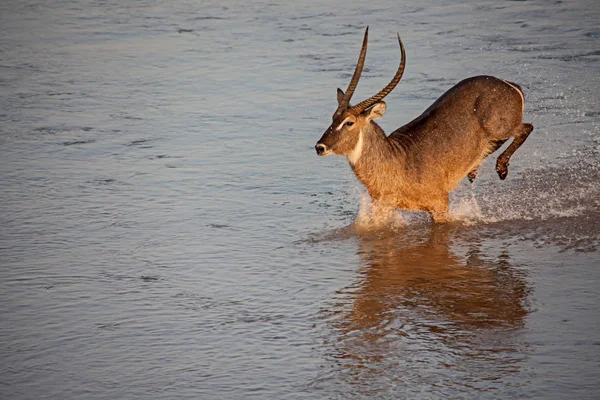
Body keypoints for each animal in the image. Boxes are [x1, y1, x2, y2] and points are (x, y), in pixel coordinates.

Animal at [316, 27, 532, 222]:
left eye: (349, 122)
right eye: (333, 118)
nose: (320, 147)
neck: (396, 158)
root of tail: (509, 85)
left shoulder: (440, 204)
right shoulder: (384, 205)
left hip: (499, 127)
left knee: (526, 127)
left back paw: (501, 169)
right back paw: (474, 171)